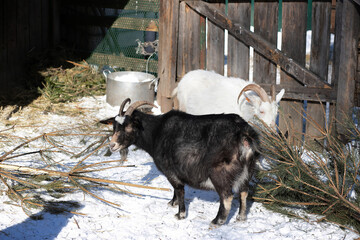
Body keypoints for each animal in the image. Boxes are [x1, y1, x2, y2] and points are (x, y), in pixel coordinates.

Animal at [100, 98, 258, 225]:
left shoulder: (171, 171)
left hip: (220, 173)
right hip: (247, 171)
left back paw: (217, 221)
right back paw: (241, 218)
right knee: (244, 192)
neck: (156, 132)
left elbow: (179, 189)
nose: (112, 145)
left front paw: (180, 214)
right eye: (114, 126)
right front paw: (172, 203)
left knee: (227, 196)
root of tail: (243, 134)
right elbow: (177, 191)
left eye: (129, 126)